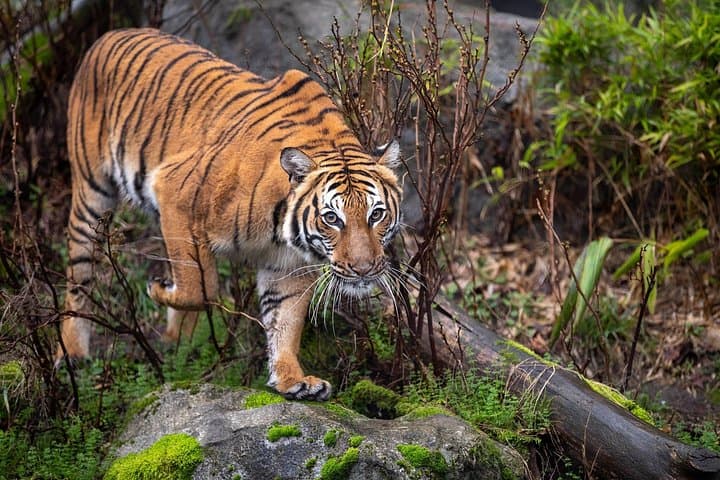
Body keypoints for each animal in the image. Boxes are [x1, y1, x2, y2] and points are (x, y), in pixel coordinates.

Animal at [60, 28, 403, 401]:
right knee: (79, 274)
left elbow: (285, 321)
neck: (280, 228)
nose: (364, 269)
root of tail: (109, 35)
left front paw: (292, 380)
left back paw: (178, 344)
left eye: (376, 215)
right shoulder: (176, 193)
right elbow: (201, 287)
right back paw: (74, 353)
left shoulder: (288, 266)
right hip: (92, 194)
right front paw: (157, 289)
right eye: (331, 219)